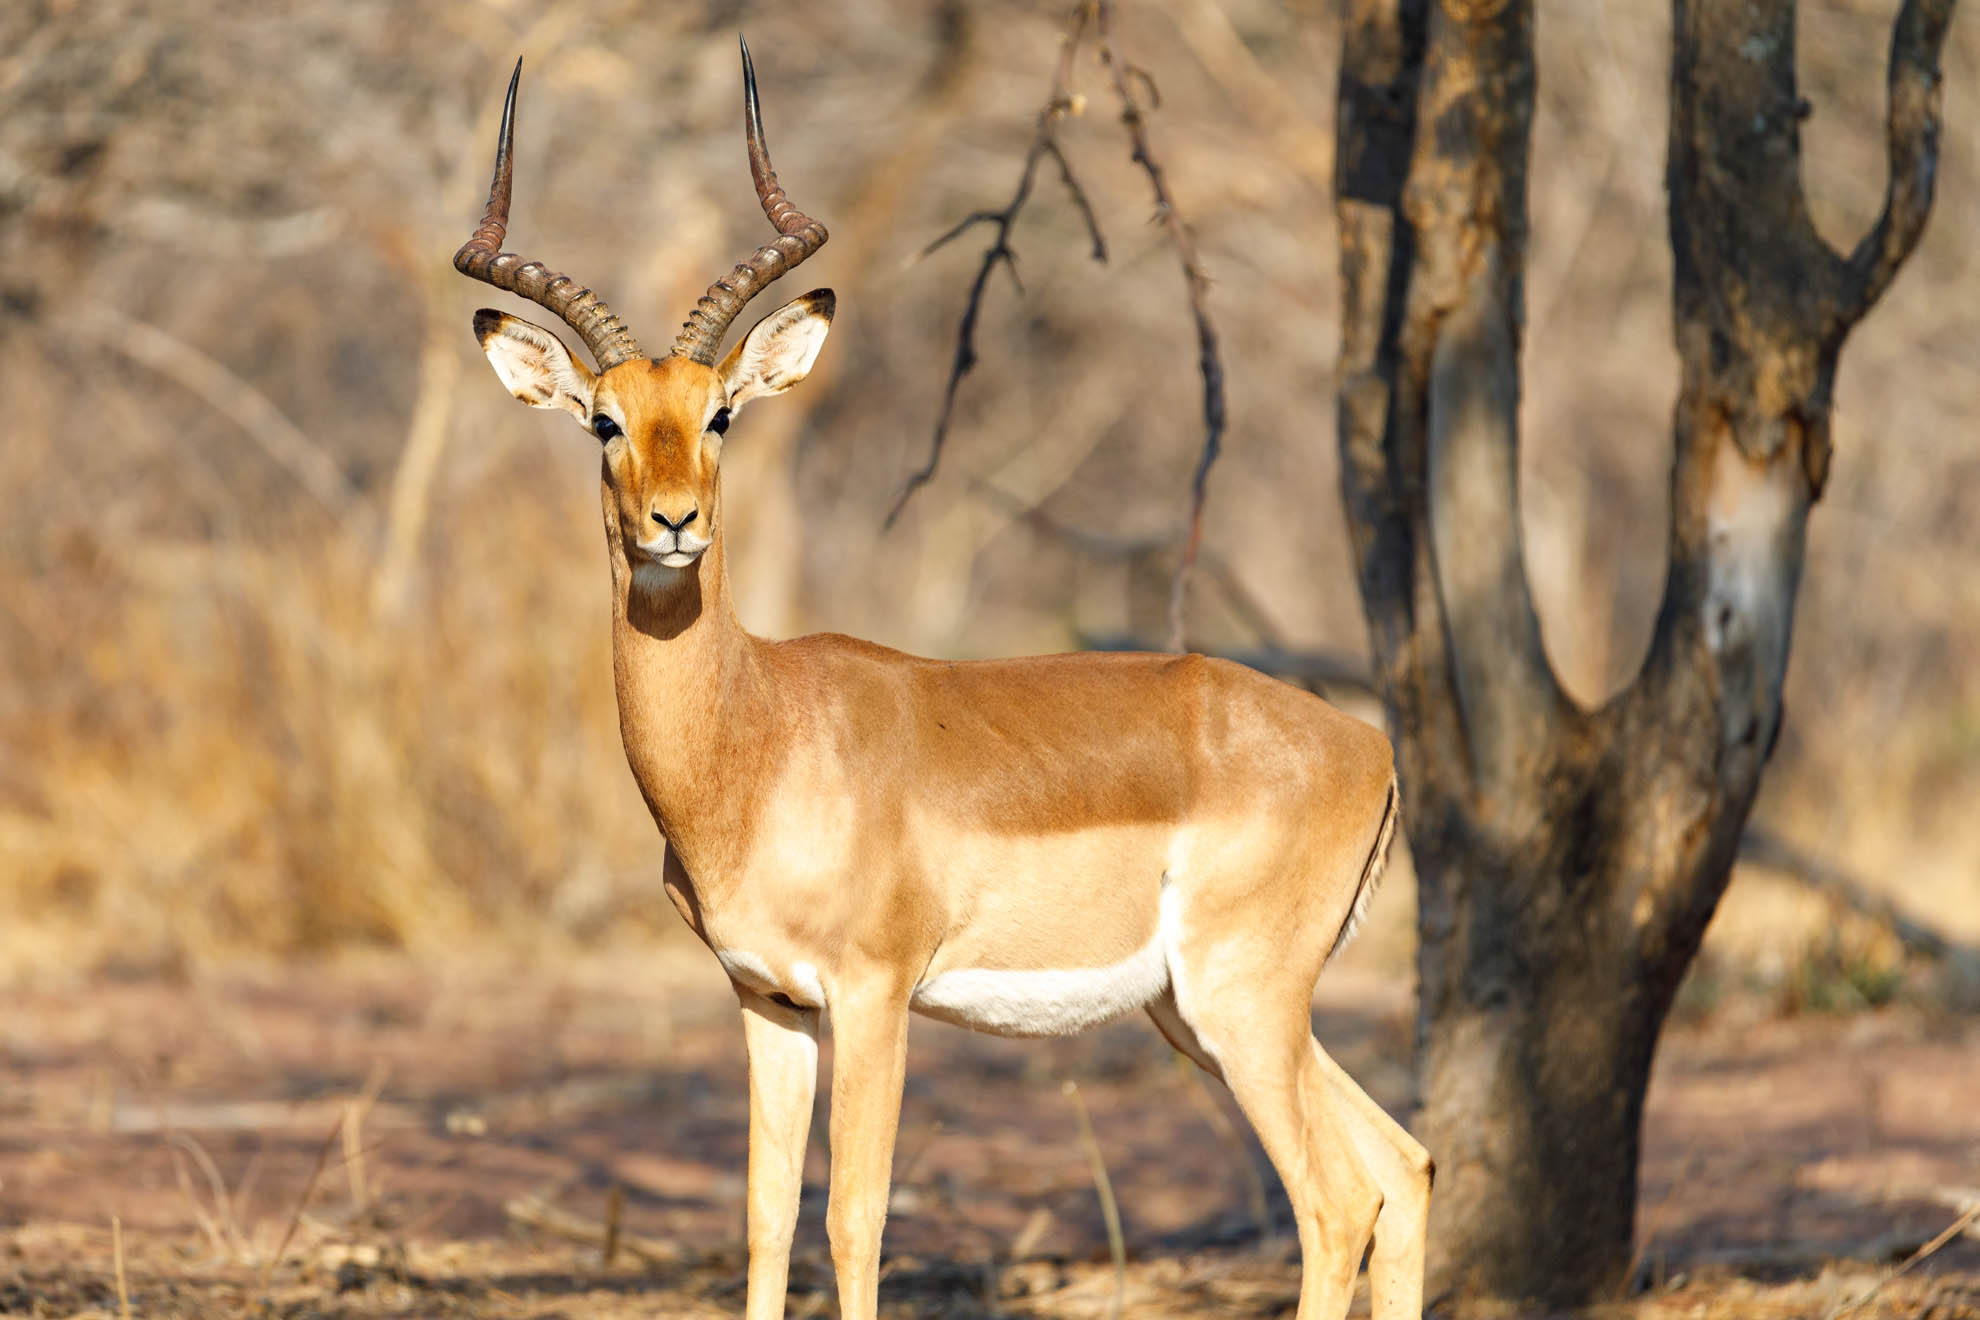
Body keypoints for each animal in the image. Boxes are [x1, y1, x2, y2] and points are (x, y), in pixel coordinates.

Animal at [454, 42, 1432, 1320]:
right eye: (604, 422)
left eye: (721, 414)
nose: (674, 523)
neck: (758, 741)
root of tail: (1371, 749)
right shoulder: (767, 1003)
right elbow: (765, 1220)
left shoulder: (873, 997)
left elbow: (855, 1219)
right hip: (1200, 1013)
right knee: (1406, 1165)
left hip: (1241, 1005)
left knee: (1338, 1202)